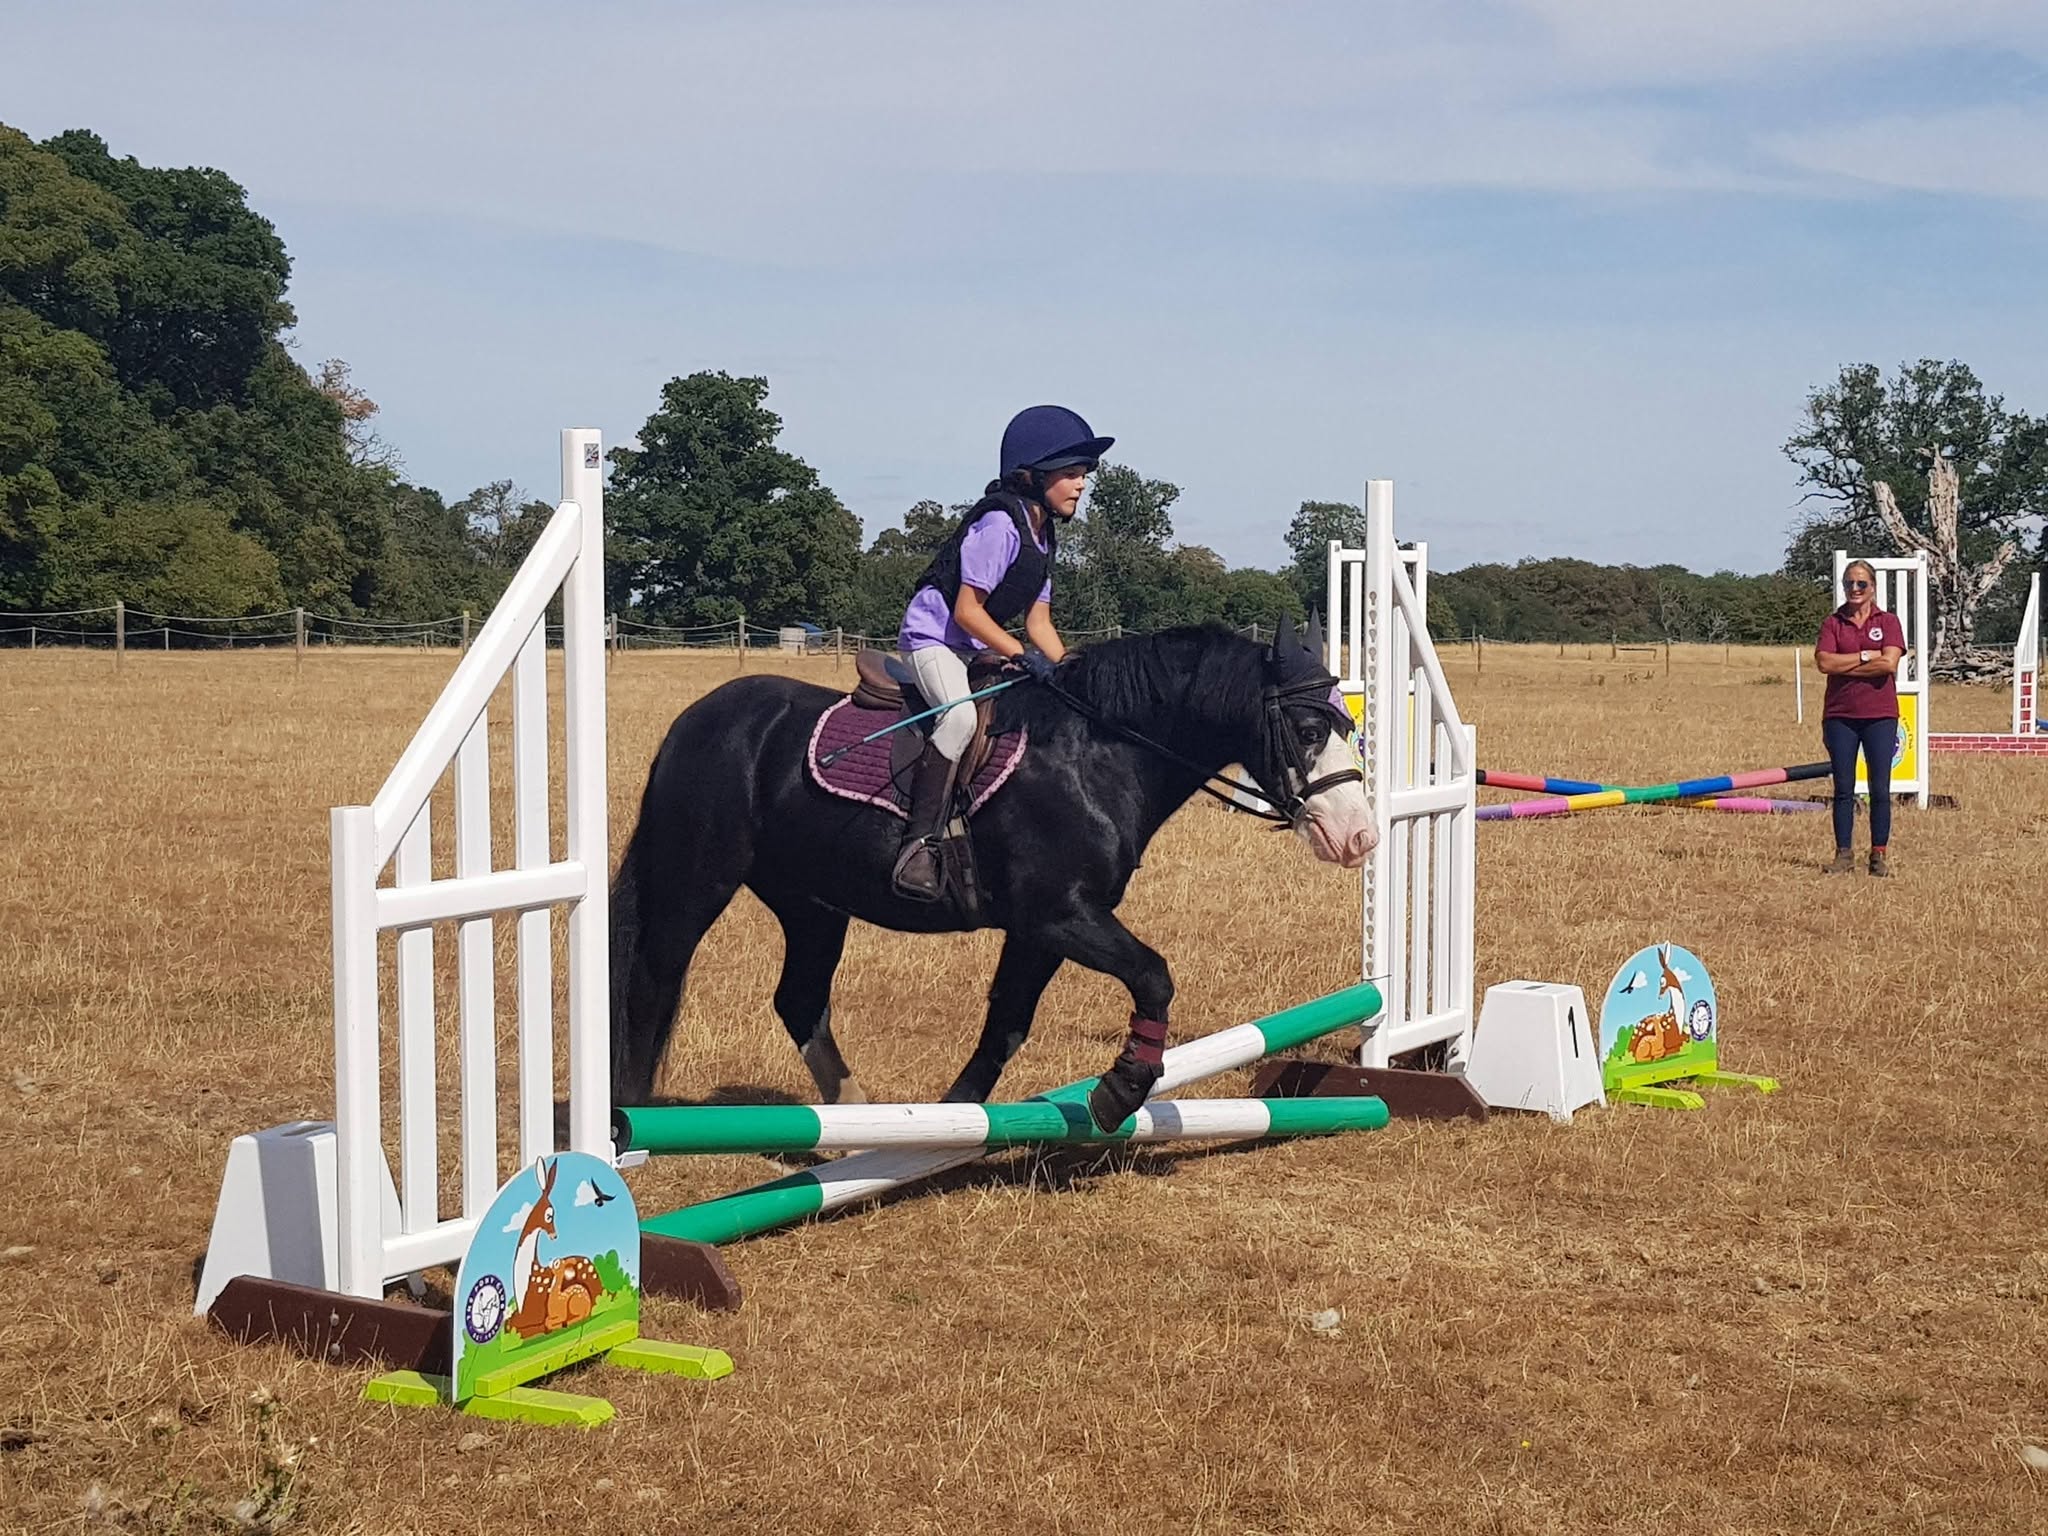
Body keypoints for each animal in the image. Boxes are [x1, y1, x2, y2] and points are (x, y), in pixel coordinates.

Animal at [608, 613, 1376, 1132]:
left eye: (1348, 724)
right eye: (1309, 731)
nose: (1360, 835)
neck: (1098, 753)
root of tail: (700, 717)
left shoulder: (1043, 929)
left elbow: (1007, 1023)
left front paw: (949, 1123)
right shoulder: (1059, 914)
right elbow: (1154, 975)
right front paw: (1122, 1089)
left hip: (812, 903)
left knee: (798, 999)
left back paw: (851, 1126)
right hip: (695, 881)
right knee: (651, 981)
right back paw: (628, 1120)